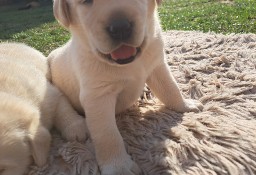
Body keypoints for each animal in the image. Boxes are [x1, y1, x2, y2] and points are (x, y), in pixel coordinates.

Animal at [49, 0, 203, 174]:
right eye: (86, 1)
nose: (120, 27)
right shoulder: (97, 97)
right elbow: (108, 134)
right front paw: (119, 167)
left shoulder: (157, 66)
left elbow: (171, 88)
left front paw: (185, 105)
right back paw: (76, 127)